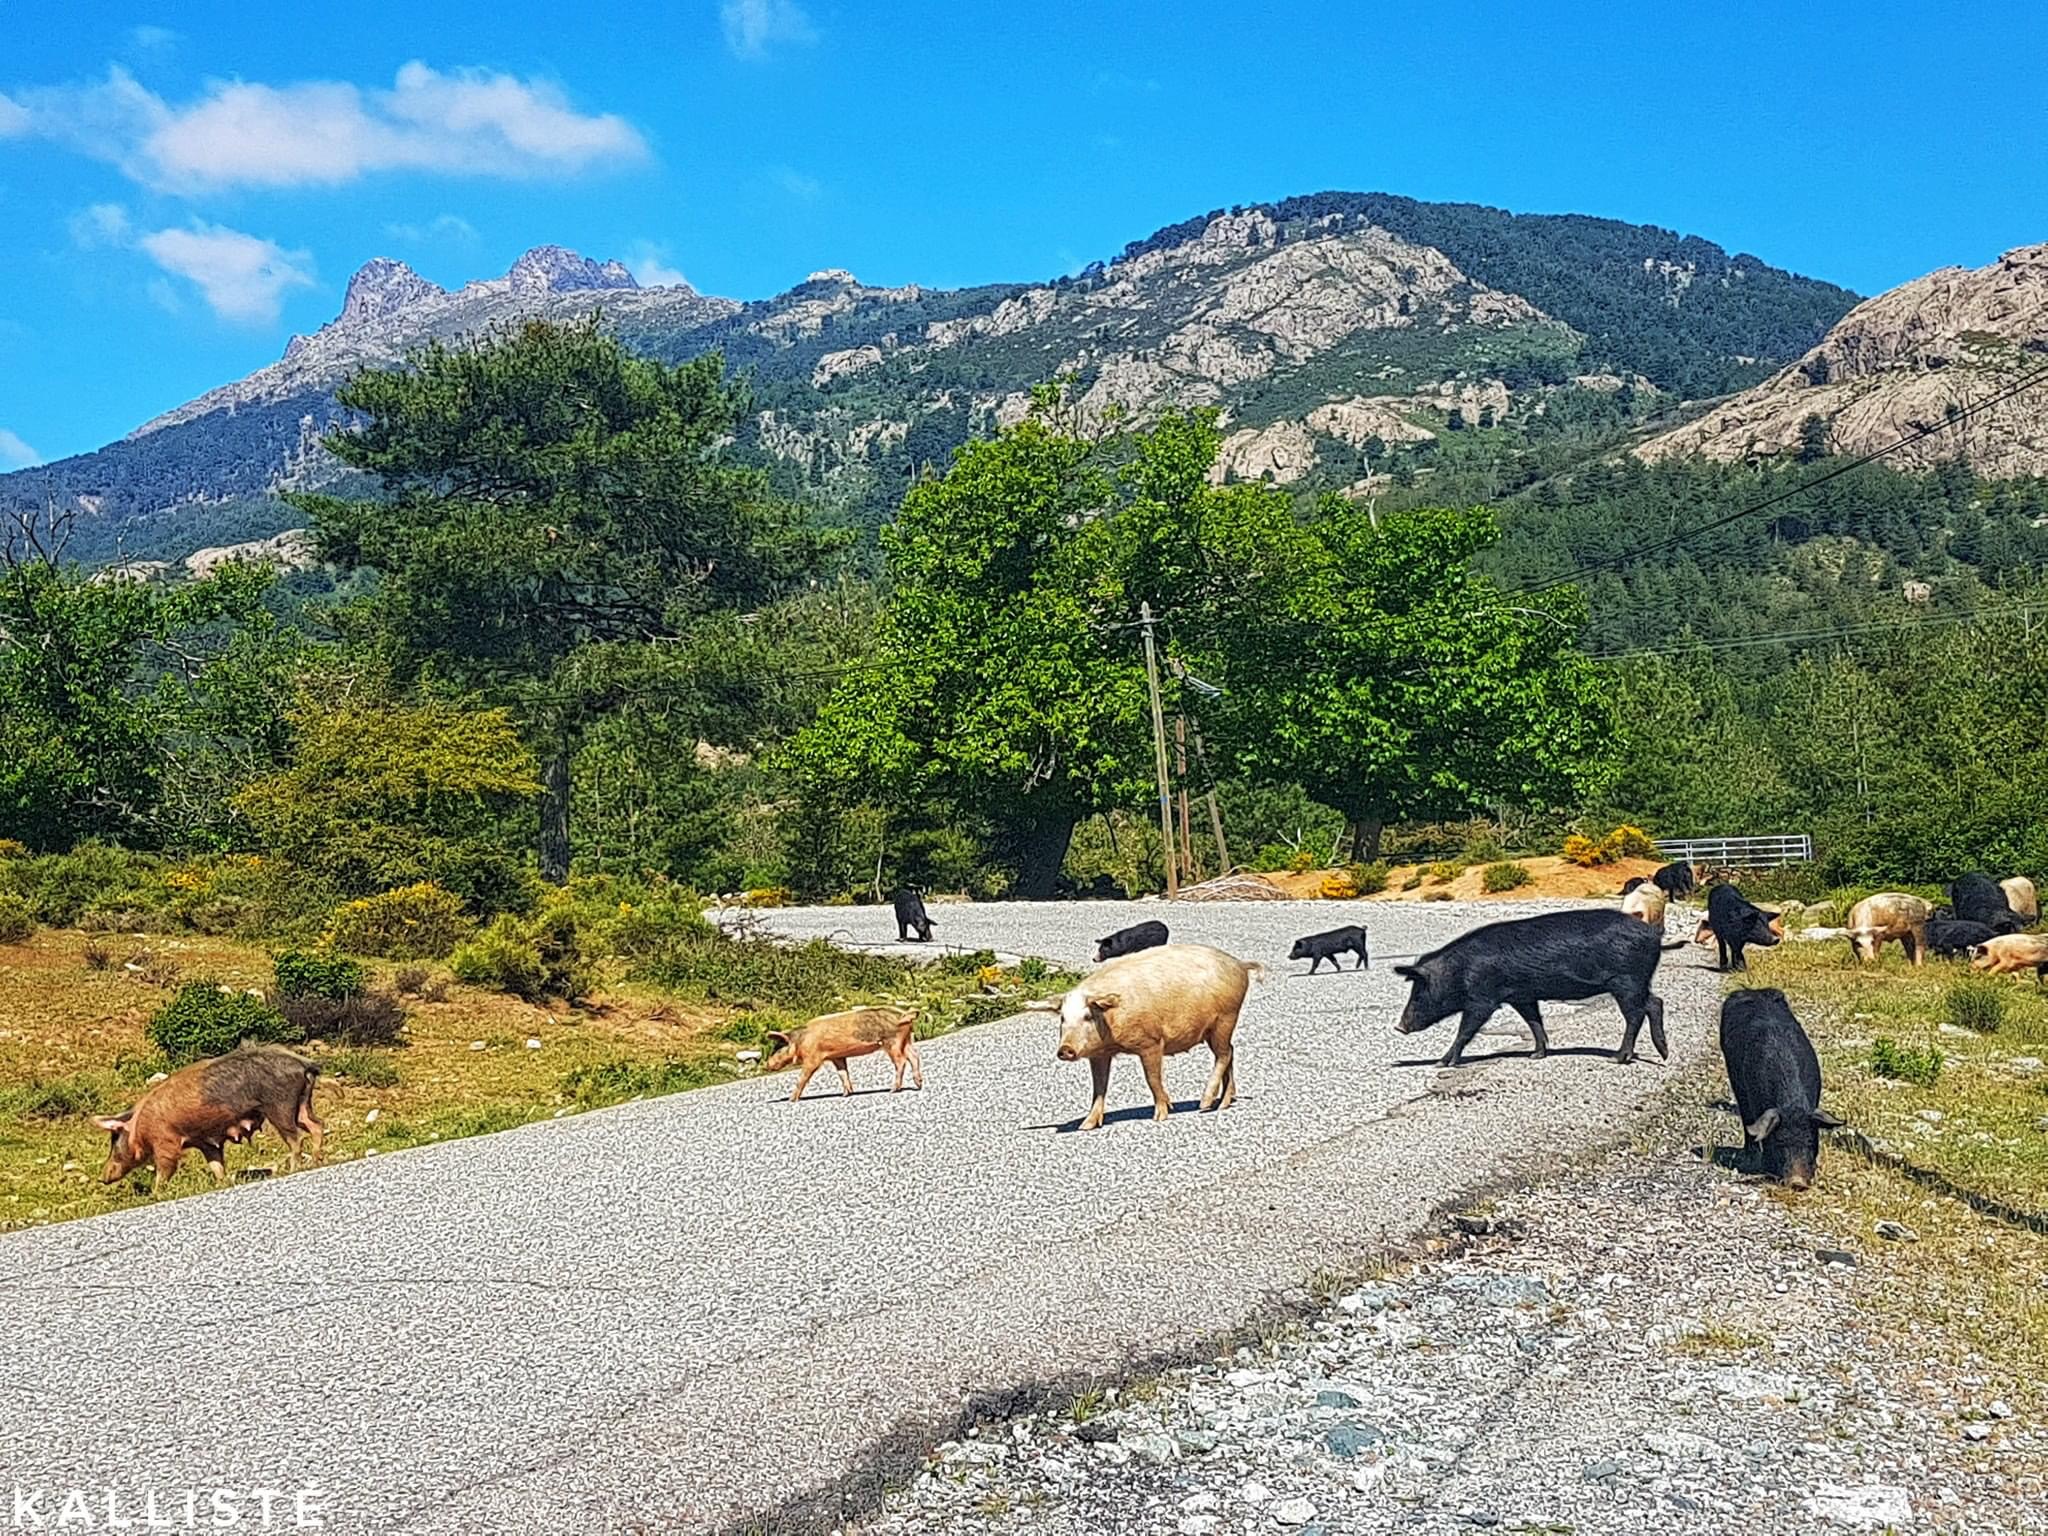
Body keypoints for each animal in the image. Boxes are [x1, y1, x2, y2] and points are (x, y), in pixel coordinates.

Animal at [93, 1045, 323, 1192]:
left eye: (114, 1138)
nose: (102, 1177)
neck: (141, 1125)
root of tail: (302, 1063)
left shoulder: (166, 1141)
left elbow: (165, 1168)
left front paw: (156, 1194)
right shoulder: (205, 1141)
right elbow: (215, 1164)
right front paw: (222, 1184)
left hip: (279, 1105)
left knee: (296, 1137)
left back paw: (292, 1169)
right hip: (302, 1102)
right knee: (316, 1125)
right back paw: (316, 1160)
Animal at [765, 1006, 924, 1100]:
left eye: (777, 1048)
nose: (766, 1065)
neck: (800, 1041)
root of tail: (903, 1014)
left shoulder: (813, 1058)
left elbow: (803, 1077)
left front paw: (791, 1099)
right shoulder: (837, 1057)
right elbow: (842, 1073)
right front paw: (846, 1094)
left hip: (892, 1041)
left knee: (901, 1061)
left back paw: (892, 1090)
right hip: (906, 1040)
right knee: (914, 1057)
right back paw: (918, 1084)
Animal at [1024, 944, 1259, 1130]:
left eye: (1088, 1016)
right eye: (1062, 1018)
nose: (1065, 1050)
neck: (1111, 1021)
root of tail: (1239, 964)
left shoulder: (1151, 1042)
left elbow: (1152, 1078)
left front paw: (1160, 1116)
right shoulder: (1099, 1054)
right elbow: (1099, 1087)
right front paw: (1086, 1126)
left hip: (1226, 1018)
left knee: (1223, 1055)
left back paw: (1204, 1104)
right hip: (1215, 1029)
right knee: (1230, 1052)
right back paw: (1224, 1103)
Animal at [1394, 909, 1668, 1068]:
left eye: (1418, 993)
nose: (1399, 1027)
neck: (1459, 971)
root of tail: (1653, 934)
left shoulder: (1483, 999)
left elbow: (1465, 1030)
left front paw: (1442, 1064)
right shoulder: (1522, 996)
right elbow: (1534, 1022)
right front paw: (1536, 1055)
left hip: (1626, 981)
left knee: (1636, 1014)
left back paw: (1619, 1058)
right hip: (1637, 983)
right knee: (1655, 1003)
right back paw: (1663, 1053)